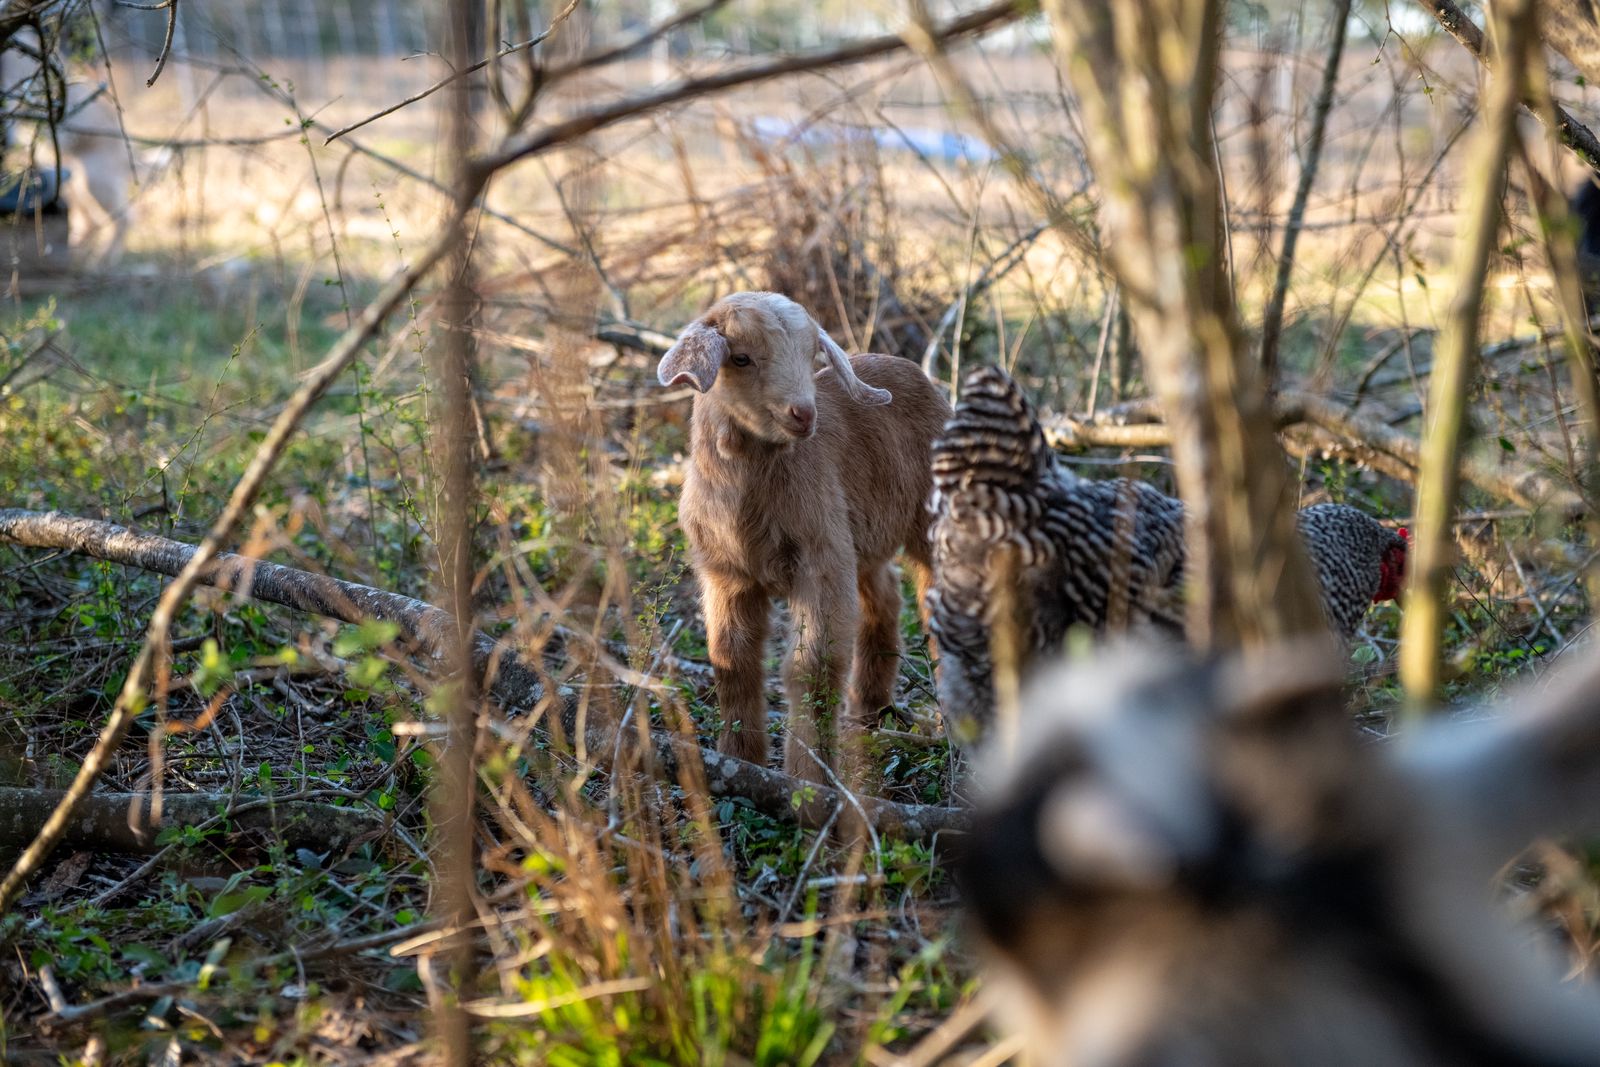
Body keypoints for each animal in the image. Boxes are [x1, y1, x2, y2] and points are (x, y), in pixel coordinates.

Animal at [658, 291, 950, 783]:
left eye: (812, 354)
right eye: (741, 357)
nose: (803, 414)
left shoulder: (820, 564)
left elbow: (810, 667)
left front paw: (809, 778)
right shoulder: (726, 574)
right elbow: (731, 660)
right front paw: (741, 759)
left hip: (929, 521)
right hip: (860, 539)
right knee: (884, 600)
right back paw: (870, 710)